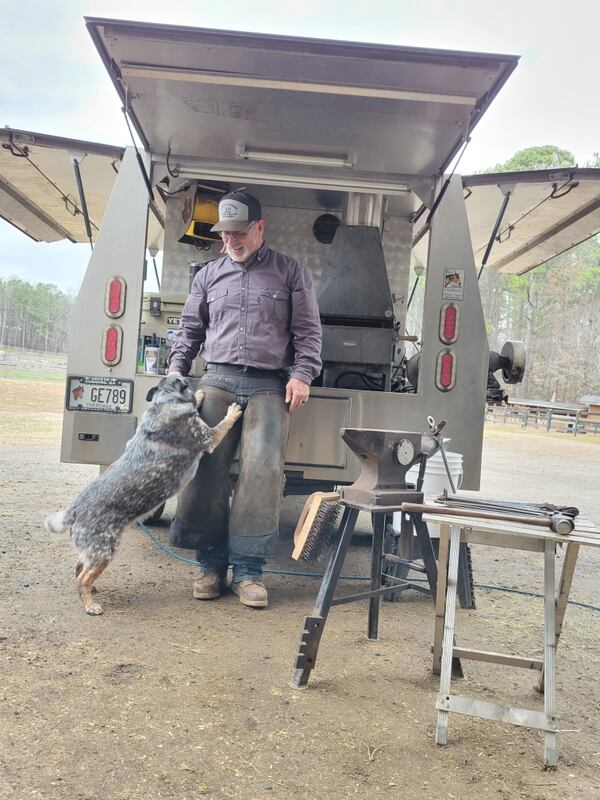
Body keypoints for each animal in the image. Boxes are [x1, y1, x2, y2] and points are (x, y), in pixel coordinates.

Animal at [44, 378, 241, 616]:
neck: (163, 404)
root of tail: (74, 509)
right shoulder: (208, 437)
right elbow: (223, 425)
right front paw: (232, 411)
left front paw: (201, 395)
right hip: (105, 551)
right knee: (82, 578)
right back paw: (90, 604)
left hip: (94, 551)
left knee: (79, 566)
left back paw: (93, 589)